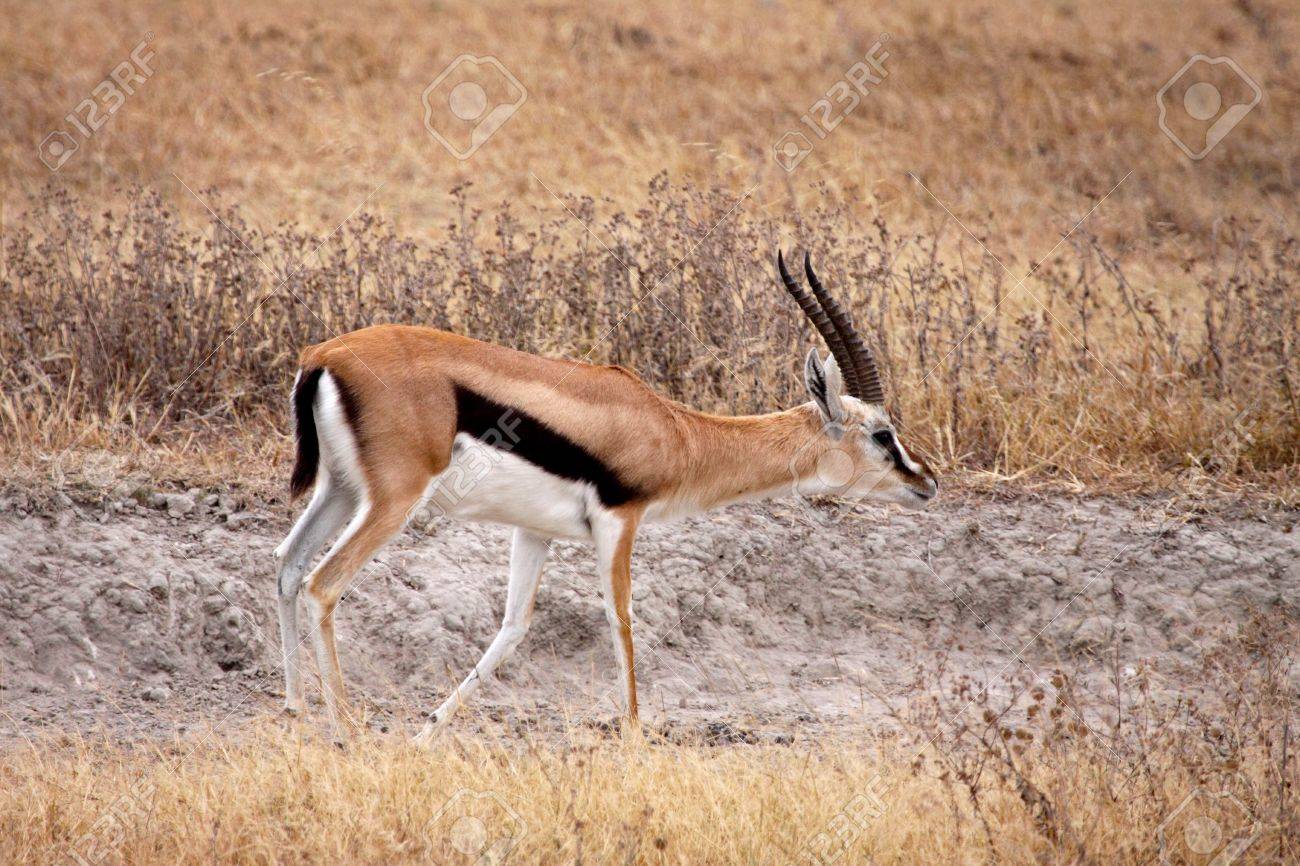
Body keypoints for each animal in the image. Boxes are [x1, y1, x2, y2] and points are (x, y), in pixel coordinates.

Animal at [274, 251, 938, 740]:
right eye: (882, 434)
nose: (926, 482)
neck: (676, 433)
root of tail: (323, 356)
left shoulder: (534, 531)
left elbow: (513, 627)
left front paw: (426, 734)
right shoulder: (621, 521)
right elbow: (622, 622)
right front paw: (636, 741)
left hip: (340, 490)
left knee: (287, 566)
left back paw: (295, 714)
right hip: (392, 501)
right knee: (323, 584)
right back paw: (346, 732)